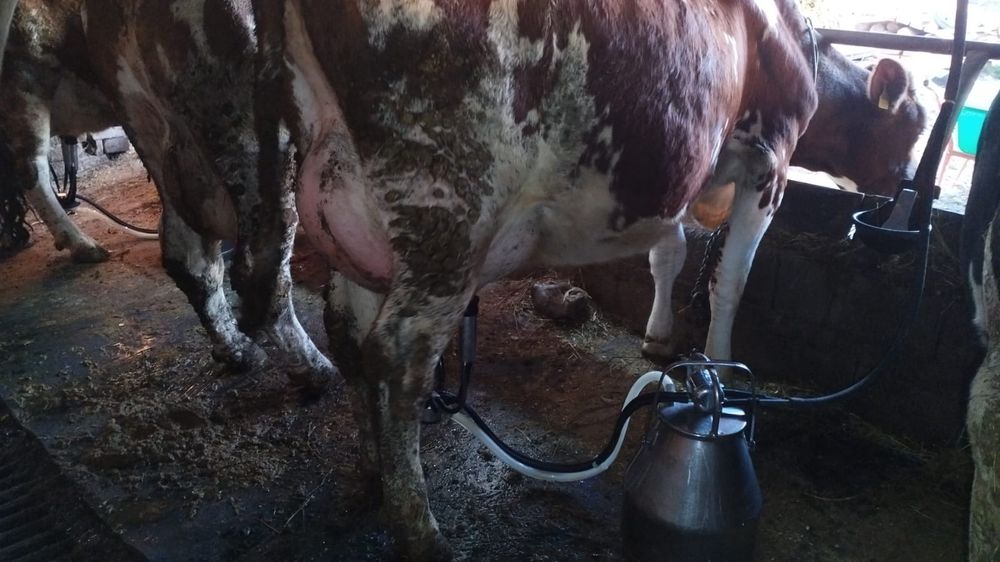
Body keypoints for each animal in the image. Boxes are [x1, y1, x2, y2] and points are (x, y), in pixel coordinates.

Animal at [250, 0, 925, 557]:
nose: (906, 190)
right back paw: (423, 533)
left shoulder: (681, 175)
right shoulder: (770, 158)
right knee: (398, 356)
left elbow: (669, 253)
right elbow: (730, 280)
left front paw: (660, 337)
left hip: (345, 208)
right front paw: (721, 365)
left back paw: (372, 472)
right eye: (914, 127)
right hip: (448, 203)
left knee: (346, 333)